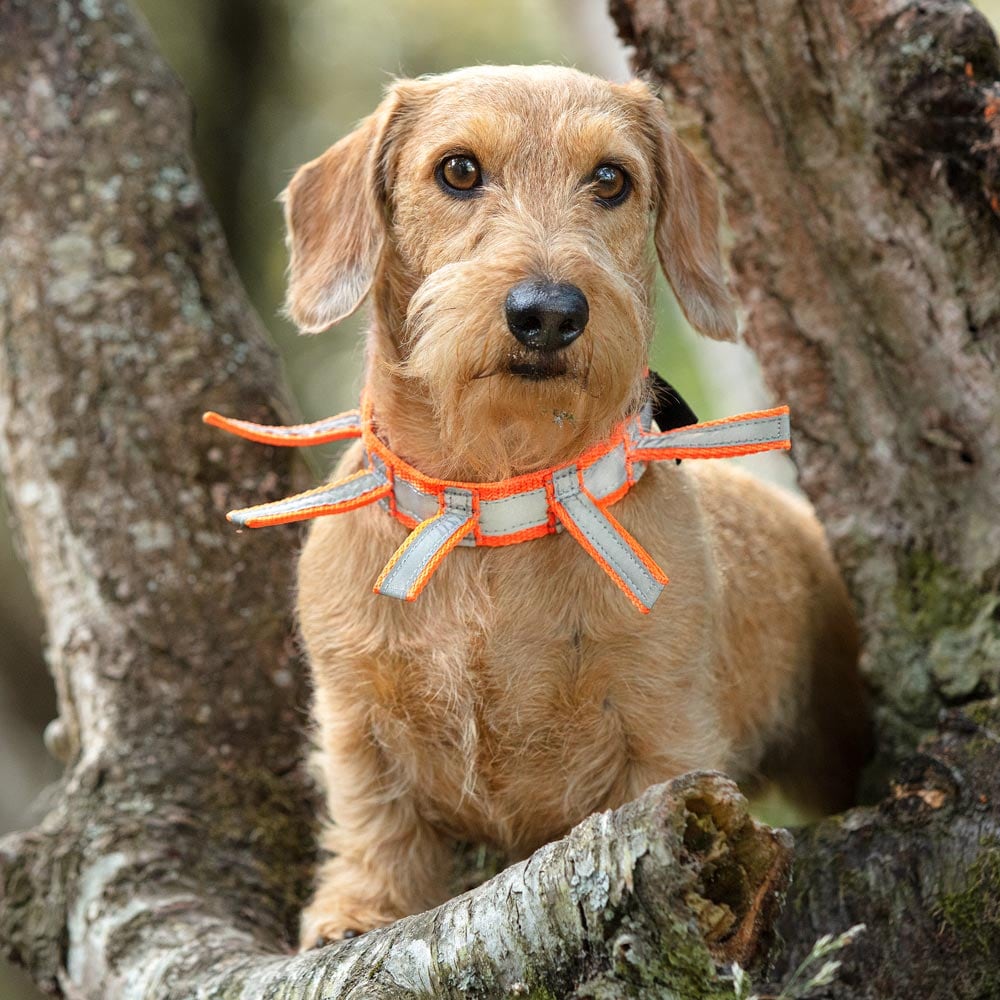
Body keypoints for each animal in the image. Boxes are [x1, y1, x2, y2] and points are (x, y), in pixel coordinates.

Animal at [280, 64, 868, 944]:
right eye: (458, 170)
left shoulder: (663, 732)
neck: (496, 501)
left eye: (611, 179)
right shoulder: (356, 718)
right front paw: (361, 910)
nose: (550, 312)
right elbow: (374, 819)